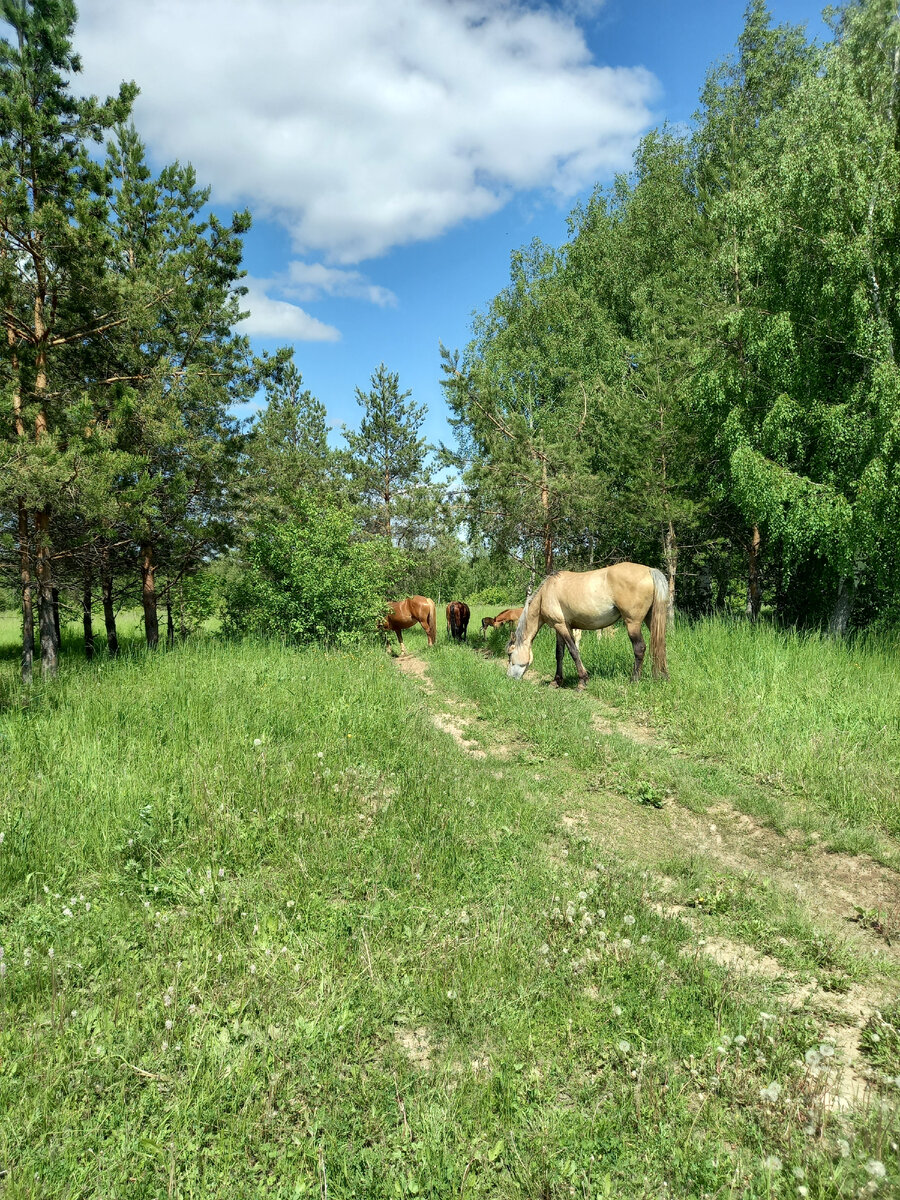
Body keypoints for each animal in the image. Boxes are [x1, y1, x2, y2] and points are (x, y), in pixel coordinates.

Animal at [508, 566, 672, 691]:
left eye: (509, 654)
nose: (509, 677)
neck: (546, 593)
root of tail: (649, 570)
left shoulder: (562, 626)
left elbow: (574, 651)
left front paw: (582, 681)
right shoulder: (559, 627)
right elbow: (559, 654)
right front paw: (556, 681)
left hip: (633, 623)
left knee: (640, 648)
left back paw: (634, 680)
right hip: (651, 620)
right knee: (660, 645)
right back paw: (663, 676)